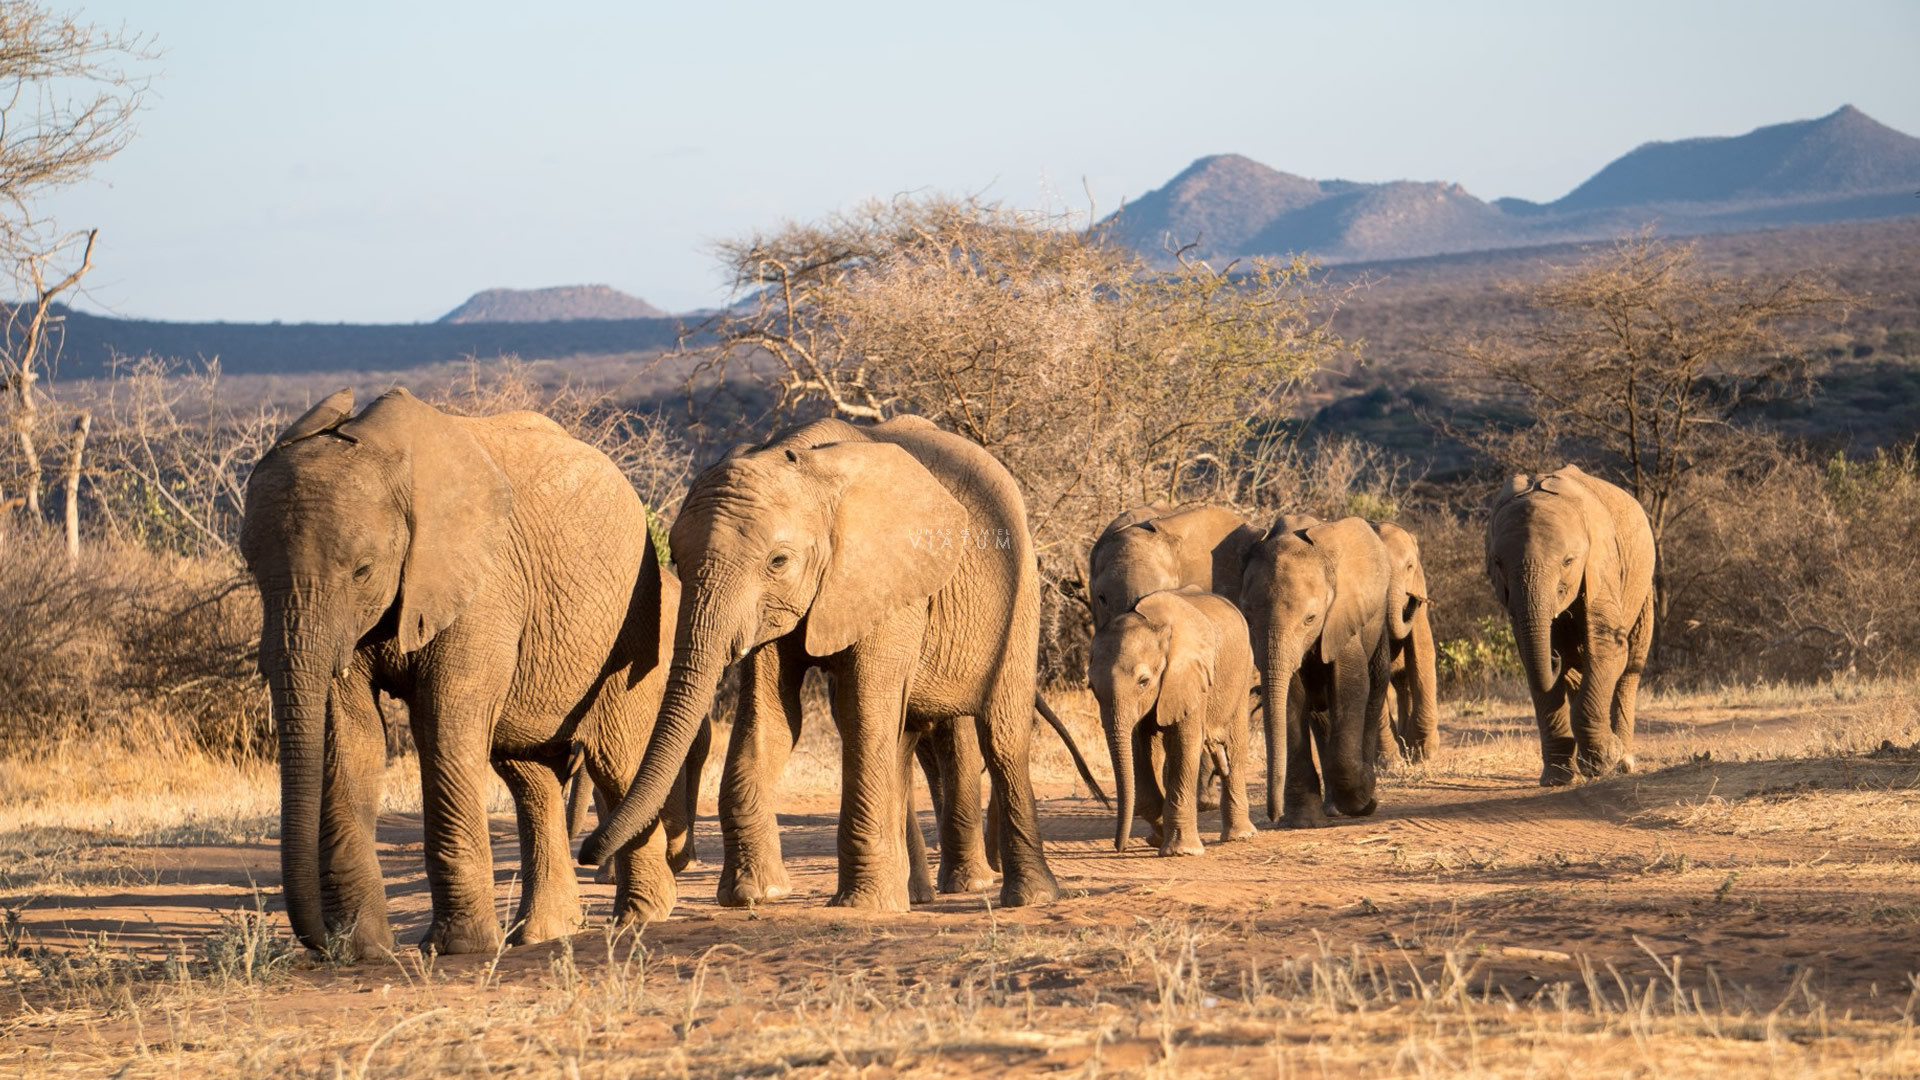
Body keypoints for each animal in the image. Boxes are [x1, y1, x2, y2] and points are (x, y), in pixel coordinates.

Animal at [239, 388, 702, 957]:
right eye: (253, 570)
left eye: (363, 570)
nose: (322, 942)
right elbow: (349, 734)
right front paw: (363, 951)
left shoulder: (483, 585)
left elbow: (443, 723)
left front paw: (457, 948)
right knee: (528, 777)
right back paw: (543, 932)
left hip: (634, 617)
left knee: (616, 757)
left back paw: (641, 917)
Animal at [583, 411, 1067, 907]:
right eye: (677, 559)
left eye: (778, 561)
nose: (587, 850)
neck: (809, 467)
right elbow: (770, 716)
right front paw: (754, 893)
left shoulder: (888, 578)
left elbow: (862, 711)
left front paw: (863, 906)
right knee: (902, 738)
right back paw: (916, 895)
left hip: (1019, 588)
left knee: (1002, 730)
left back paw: (1026, 897)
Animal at [1098, 584, 1259, 853]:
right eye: (1091, 686)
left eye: (1143, 682)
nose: (1119, 847)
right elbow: (1140, 748)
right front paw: (1160, 836)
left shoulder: (1189, 676)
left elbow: (1184, 744)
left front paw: (1182, 851)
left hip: (1243, 670)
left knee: (1235, 746)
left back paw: (1241, 836)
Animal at [1236, 511, 1390, 822]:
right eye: (1247, 615)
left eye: (1311, 618)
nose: (1274, 816)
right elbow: (1291, 698)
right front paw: (1304, 821)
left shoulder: (1342, 616)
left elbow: (1352, 686)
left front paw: (1365, 797)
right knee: (1321, 716)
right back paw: (1334, 808)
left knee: (1373, 689)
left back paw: (1362, 797)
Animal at [1482, 463, 1651, 780]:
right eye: (1497, 563)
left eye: (1568, 561)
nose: (1554, 656)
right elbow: (1531, 660)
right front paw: (1557, 778)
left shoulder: (1602, 565)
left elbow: (1607, 646)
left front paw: (1605, 759)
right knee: (1575, 671)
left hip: (1643, 588)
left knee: (1630, 666)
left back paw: (1624, 762)